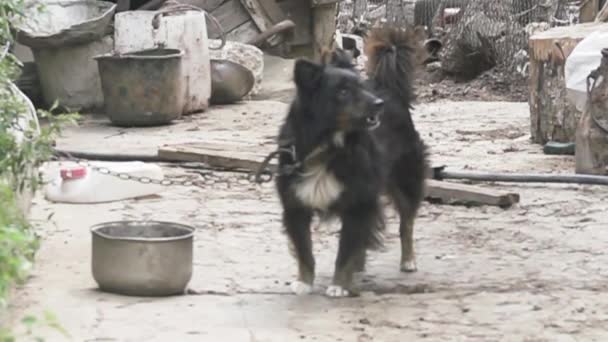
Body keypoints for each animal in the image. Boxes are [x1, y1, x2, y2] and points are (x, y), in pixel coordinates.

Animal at [274, 26, 428, 296]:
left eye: (361, 87)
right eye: (343, 91)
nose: (378, 104)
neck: (328, 143)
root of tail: (388, 88)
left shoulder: (358, 201)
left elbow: (345, 250)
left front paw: (338, 285)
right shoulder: (295, 204)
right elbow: (305, 249)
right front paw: (305, 282)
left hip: (405, 176)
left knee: (406, 221)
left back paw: (408, 260)